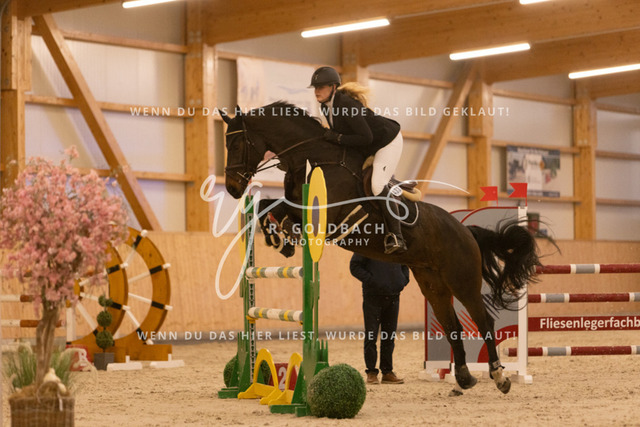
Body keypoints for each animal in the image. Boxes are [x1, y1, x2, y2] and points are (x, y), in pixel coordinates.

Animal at [221, 101, 544, 395]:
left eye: (236, 143)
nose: (233, 189)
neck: (312, 157)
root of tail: (466, 230)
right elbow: (267, 205)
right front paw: (280, 240)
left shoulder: (325, 215)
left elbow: (282, 211)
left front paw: (283, 236)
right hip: (433, 285)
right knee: (453, 325)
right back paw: (463, 379)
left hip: (462, 281)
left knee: (484, 320)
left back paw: (500, 377)